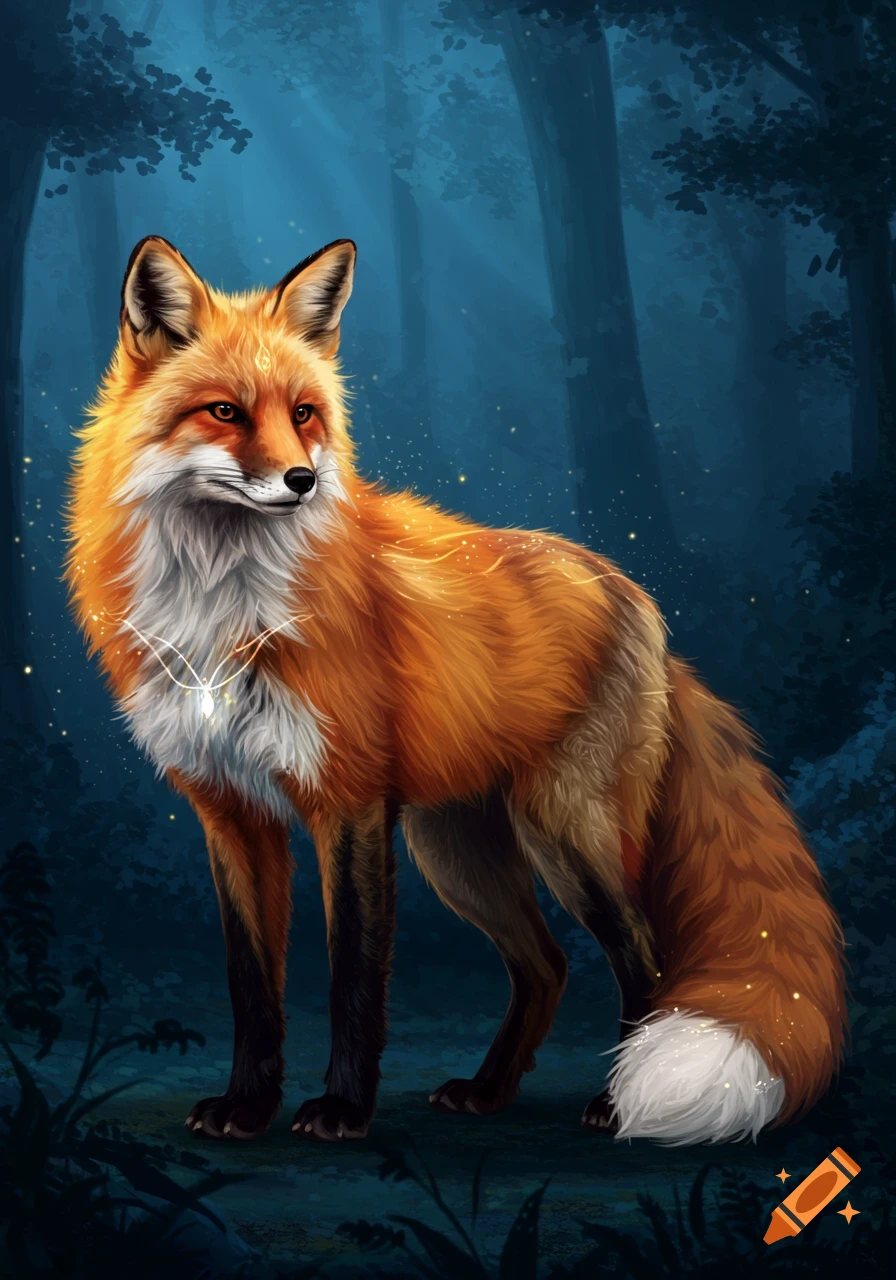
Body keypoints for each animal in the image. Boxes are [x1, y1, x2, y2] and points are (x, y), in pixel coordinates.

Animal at [65, 235, 847, 1146]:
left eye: (304, 413)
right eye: (225, 412)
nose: (302, 481)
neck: (225, 604)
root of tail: (636, 600)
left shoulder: (349, 803)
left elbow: (353, 979)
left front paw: (343, 1109)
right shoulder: (231, 812)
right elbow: (252, 987)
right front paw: (249, 1106)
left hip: (565, 834)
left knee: (644, 955)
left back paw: (615, 1102)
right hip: (457, 850)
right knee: (546, 966)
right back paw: (489, 1089)